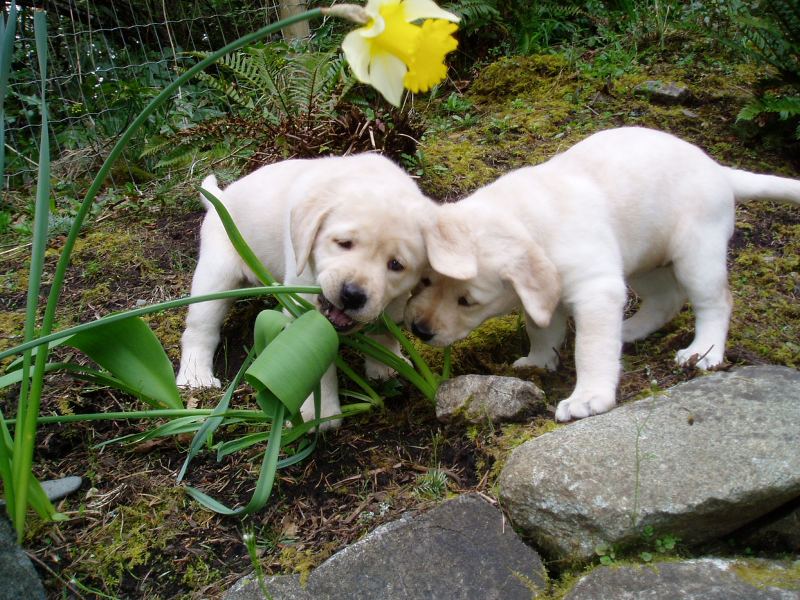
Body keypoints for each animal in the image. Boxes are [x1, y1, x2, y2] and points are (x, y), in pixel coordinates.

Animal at [177, 154, 434, 426]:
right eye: (343, 243)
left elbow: (385, 331)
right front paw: (317, 414)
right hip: (215, 273)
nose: (352, 295)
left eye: (396, 265)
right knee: (200, 329)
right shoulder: (303, 303)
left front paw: (386, 365)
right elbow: (310, 356)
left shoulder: (396, 298)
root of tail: (221, 197)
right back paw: (195, 376)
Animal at [406, 125, 800, 422]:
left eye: (467, 301)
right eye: (424, 280)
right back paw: (629, 330)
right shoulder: (545, 293)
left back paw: (704, 351)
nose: (419, 330)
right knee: (666, 298)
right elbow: (541, 327)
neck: (523, 219)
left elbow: (590, 348)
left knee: (715, 301)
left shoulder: (596, 288)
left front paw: (588, 396)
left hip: (696, 251)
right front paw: (539, 360)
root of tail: (719, 169)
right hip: (641, 256)